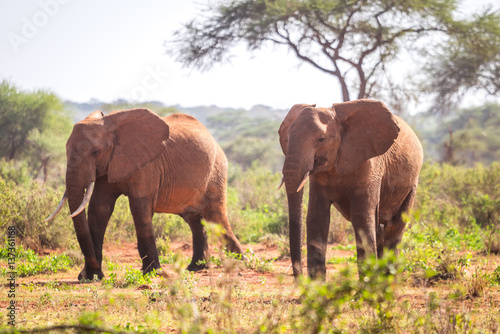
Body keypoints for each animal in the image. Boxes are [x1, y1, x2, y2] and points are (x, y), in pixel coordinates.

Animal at [46, 108, 243, 280]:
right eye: (65, 150)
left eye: (95, 152)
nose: (87, 272)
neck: (111, 125)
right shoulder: (108, 166)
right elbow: (99, 209)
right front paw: (92, 277)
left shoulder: (147, 166)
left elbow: (139, 209)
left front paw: (153, 273)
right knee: (195, 220)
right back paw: (197, 268)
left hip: (217, 171)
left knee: (216, 216)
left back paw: (240, 260)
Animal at [280, 99, 424, 280]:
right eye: (286, 139)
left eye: (321, 139)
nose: (298, 281)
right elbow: (316, 217)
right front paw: (317, 287)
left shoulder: (371, 166)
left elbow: (361, 217)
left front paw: (368, 286)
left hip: (412, 183)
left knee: (395, 226)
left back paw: (388, 278)